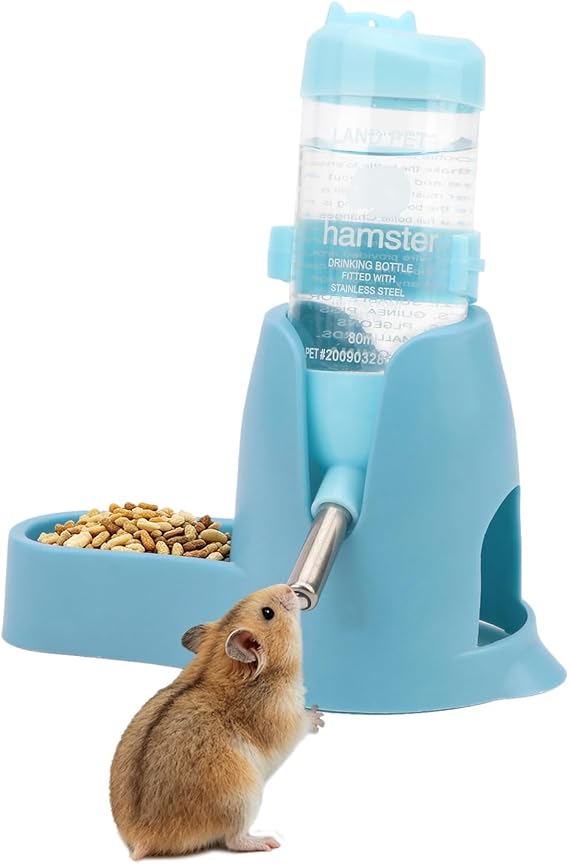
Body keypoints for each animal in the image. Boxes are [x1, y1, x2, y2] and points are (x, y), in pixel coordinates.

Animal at [110, 583, 324, 859]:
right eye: (268, 613)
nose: (288, 587)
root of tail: (142, 838)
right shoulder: (287, 718)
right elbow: (303, 723)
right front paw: (319, 716)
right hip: (243, 800)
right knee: (234, 839)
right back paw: (267, 842)